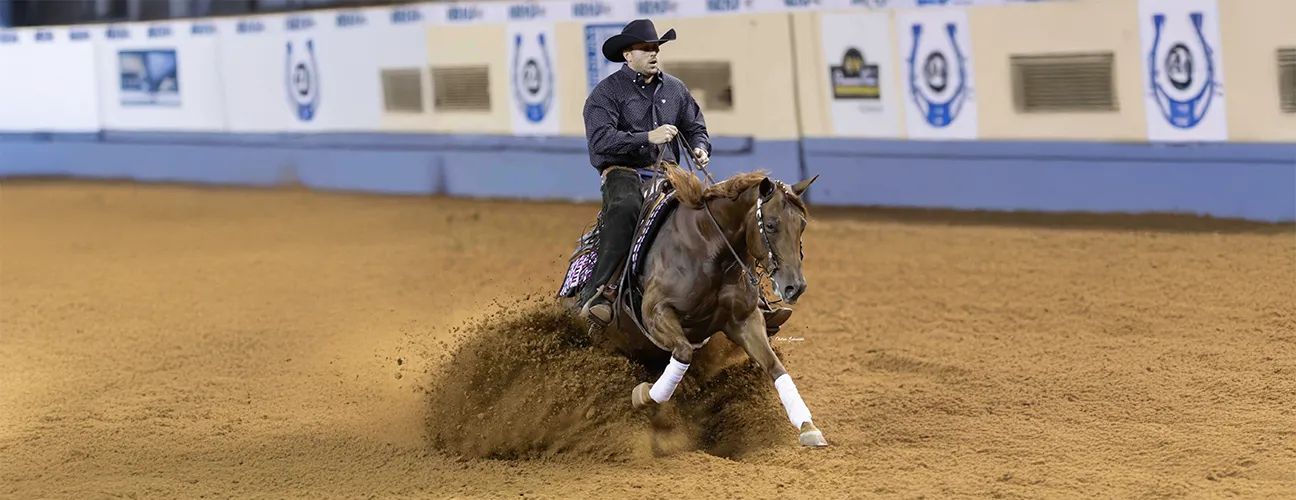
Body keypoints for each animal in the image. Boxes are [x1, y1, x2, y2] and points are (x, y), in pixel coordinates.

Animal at [557, 151, 827, 448]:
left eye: (802, 224)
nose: (795, 287)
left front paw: (808, 426)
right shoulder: (656, 313)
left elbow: (773, 366)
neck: (709, 249)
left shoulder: (744, 320)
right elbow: (683, 353)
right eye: (770, 224)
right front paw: (644, 395)